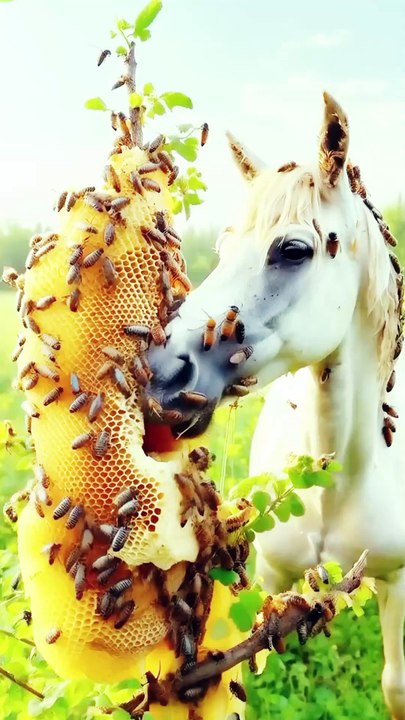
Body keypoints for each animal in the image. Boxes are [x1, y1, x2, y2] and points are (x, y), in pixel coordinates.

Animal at [146, 92, 405, 719]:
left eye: (293, 250)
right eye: (221, 249)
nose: (161, 375)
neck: (337, 486)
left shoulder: (397, 583)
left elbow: (394, 686)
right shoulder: (269, 579)